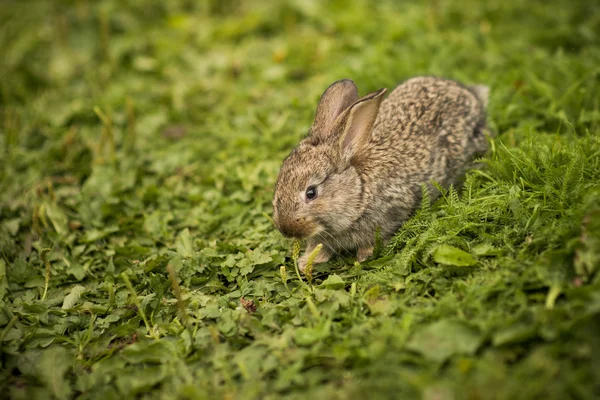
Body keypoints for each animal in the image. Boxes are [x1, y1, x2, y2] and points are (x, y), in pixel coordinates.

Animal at [272, 76, 488, 270]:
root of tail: (470, 95)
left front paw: (365, 256)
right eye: (278, 186)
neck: (360, 193)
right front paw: (306, 261)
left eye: (311, 193)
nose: (286, 229)